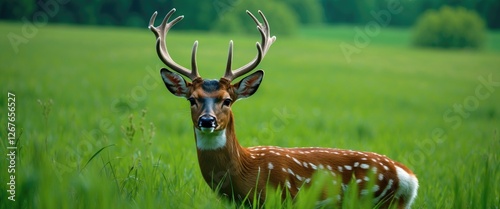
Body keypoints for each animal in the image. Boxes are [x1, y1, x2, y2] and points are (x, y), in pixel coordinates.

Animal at [147, 7, 418, 207]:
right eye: (192, 99)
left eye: (227, 100)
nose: (207, 121)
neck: (245, 173)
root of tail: (408, 177)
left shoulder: (282, 198)